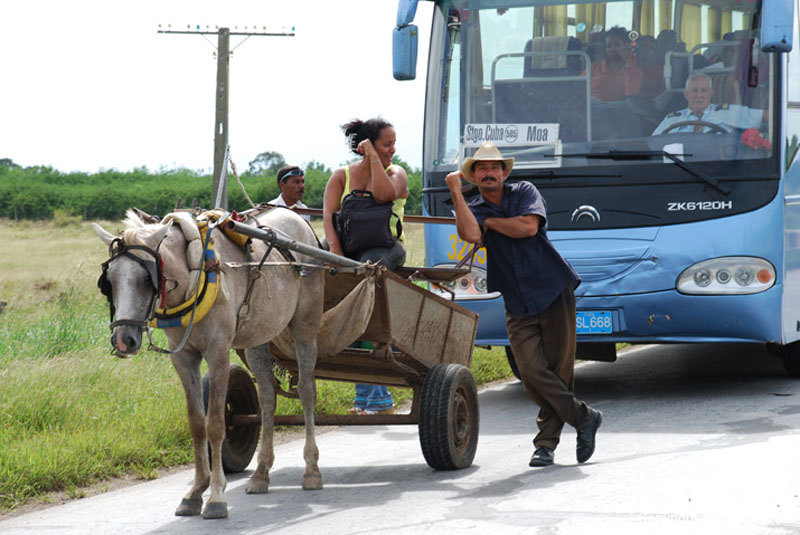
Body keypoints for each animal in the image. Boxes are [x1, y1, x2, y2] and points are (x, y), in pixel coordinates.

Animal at [96, 209, 324, 520]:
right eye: (109, 281)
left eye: (146, 278)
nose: (122, 340)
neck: (196, 272)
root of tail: (298, 219)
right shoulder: (183, 358)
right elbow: (196, 423)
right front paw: (195, 491)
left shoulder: (218, 353)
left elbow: (215, 423)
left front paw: (216, 495)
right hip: (260, 336)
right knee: (267, 398)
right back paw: (261, 473)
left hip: (305, 325)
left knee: (307, 391)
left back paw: (311, 469)